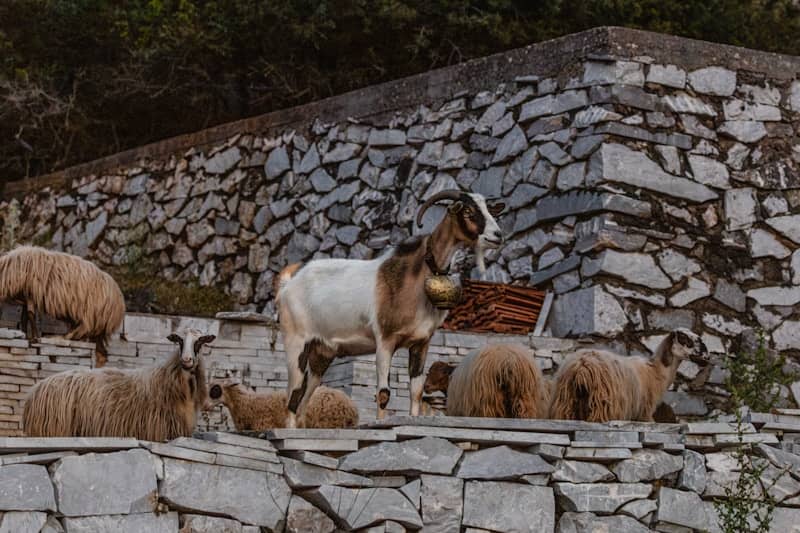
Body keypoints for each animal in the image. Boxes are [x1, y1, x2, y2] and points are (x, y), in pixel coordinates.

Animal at [276, 190, 504, 426]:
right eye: (467, 210)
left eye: (487, 208)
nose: (498, 236)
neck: (414, 277)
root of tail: (287, 284)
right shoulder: (385, 341)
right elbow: (383, 393)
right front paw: (379, 422)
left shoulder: (421, 343)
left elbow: (416, 391)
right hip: (296, 343)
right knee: (293, 395)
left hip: (322, 353)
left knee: (304, 401)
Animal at [423, 344, 551, 418]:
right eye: (429, 372)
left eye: (443, 373)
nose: (426, 386)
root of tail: (508, 362)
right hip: (523, 399)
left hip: (489, 401)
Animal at [549, 329, 708, 422]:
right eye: (684, 338)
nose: (706, 354)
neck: (656, 371)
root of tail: (582, 366)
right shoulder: (645, 413)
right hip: (603, 406)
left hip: (565, 404)